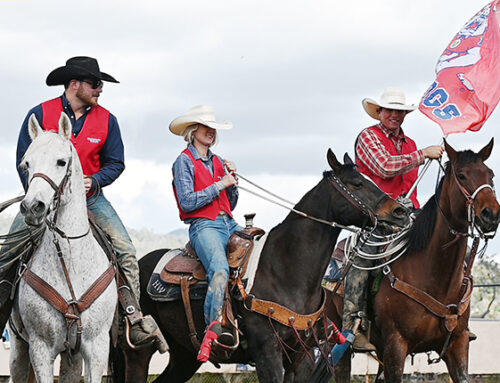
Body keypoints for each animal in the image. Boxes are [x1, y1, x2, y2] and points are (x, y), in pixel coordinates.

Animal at [8, 114, 118, 383]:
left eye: (61, 161)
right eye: (26, 164)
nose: (32, 207)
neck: (70, 258)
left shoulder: (97, 347)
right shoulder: (40, 348)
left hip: (72, 358)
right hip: (18, 348)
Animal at [112, 149, 410, 383]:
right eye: (357, 183)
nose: (400, 212)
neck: (286, 269)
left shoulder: (302, 357)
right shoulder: (268, 352)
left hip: (185, 355)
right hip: (138, 352)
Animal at [314, 140, 498, 382]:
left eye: (490, 174)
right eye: (462, 175)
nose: (491, 214)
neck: (436, 278)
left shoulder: (458, 346)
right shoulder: (396, 346)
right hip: (338, 340)